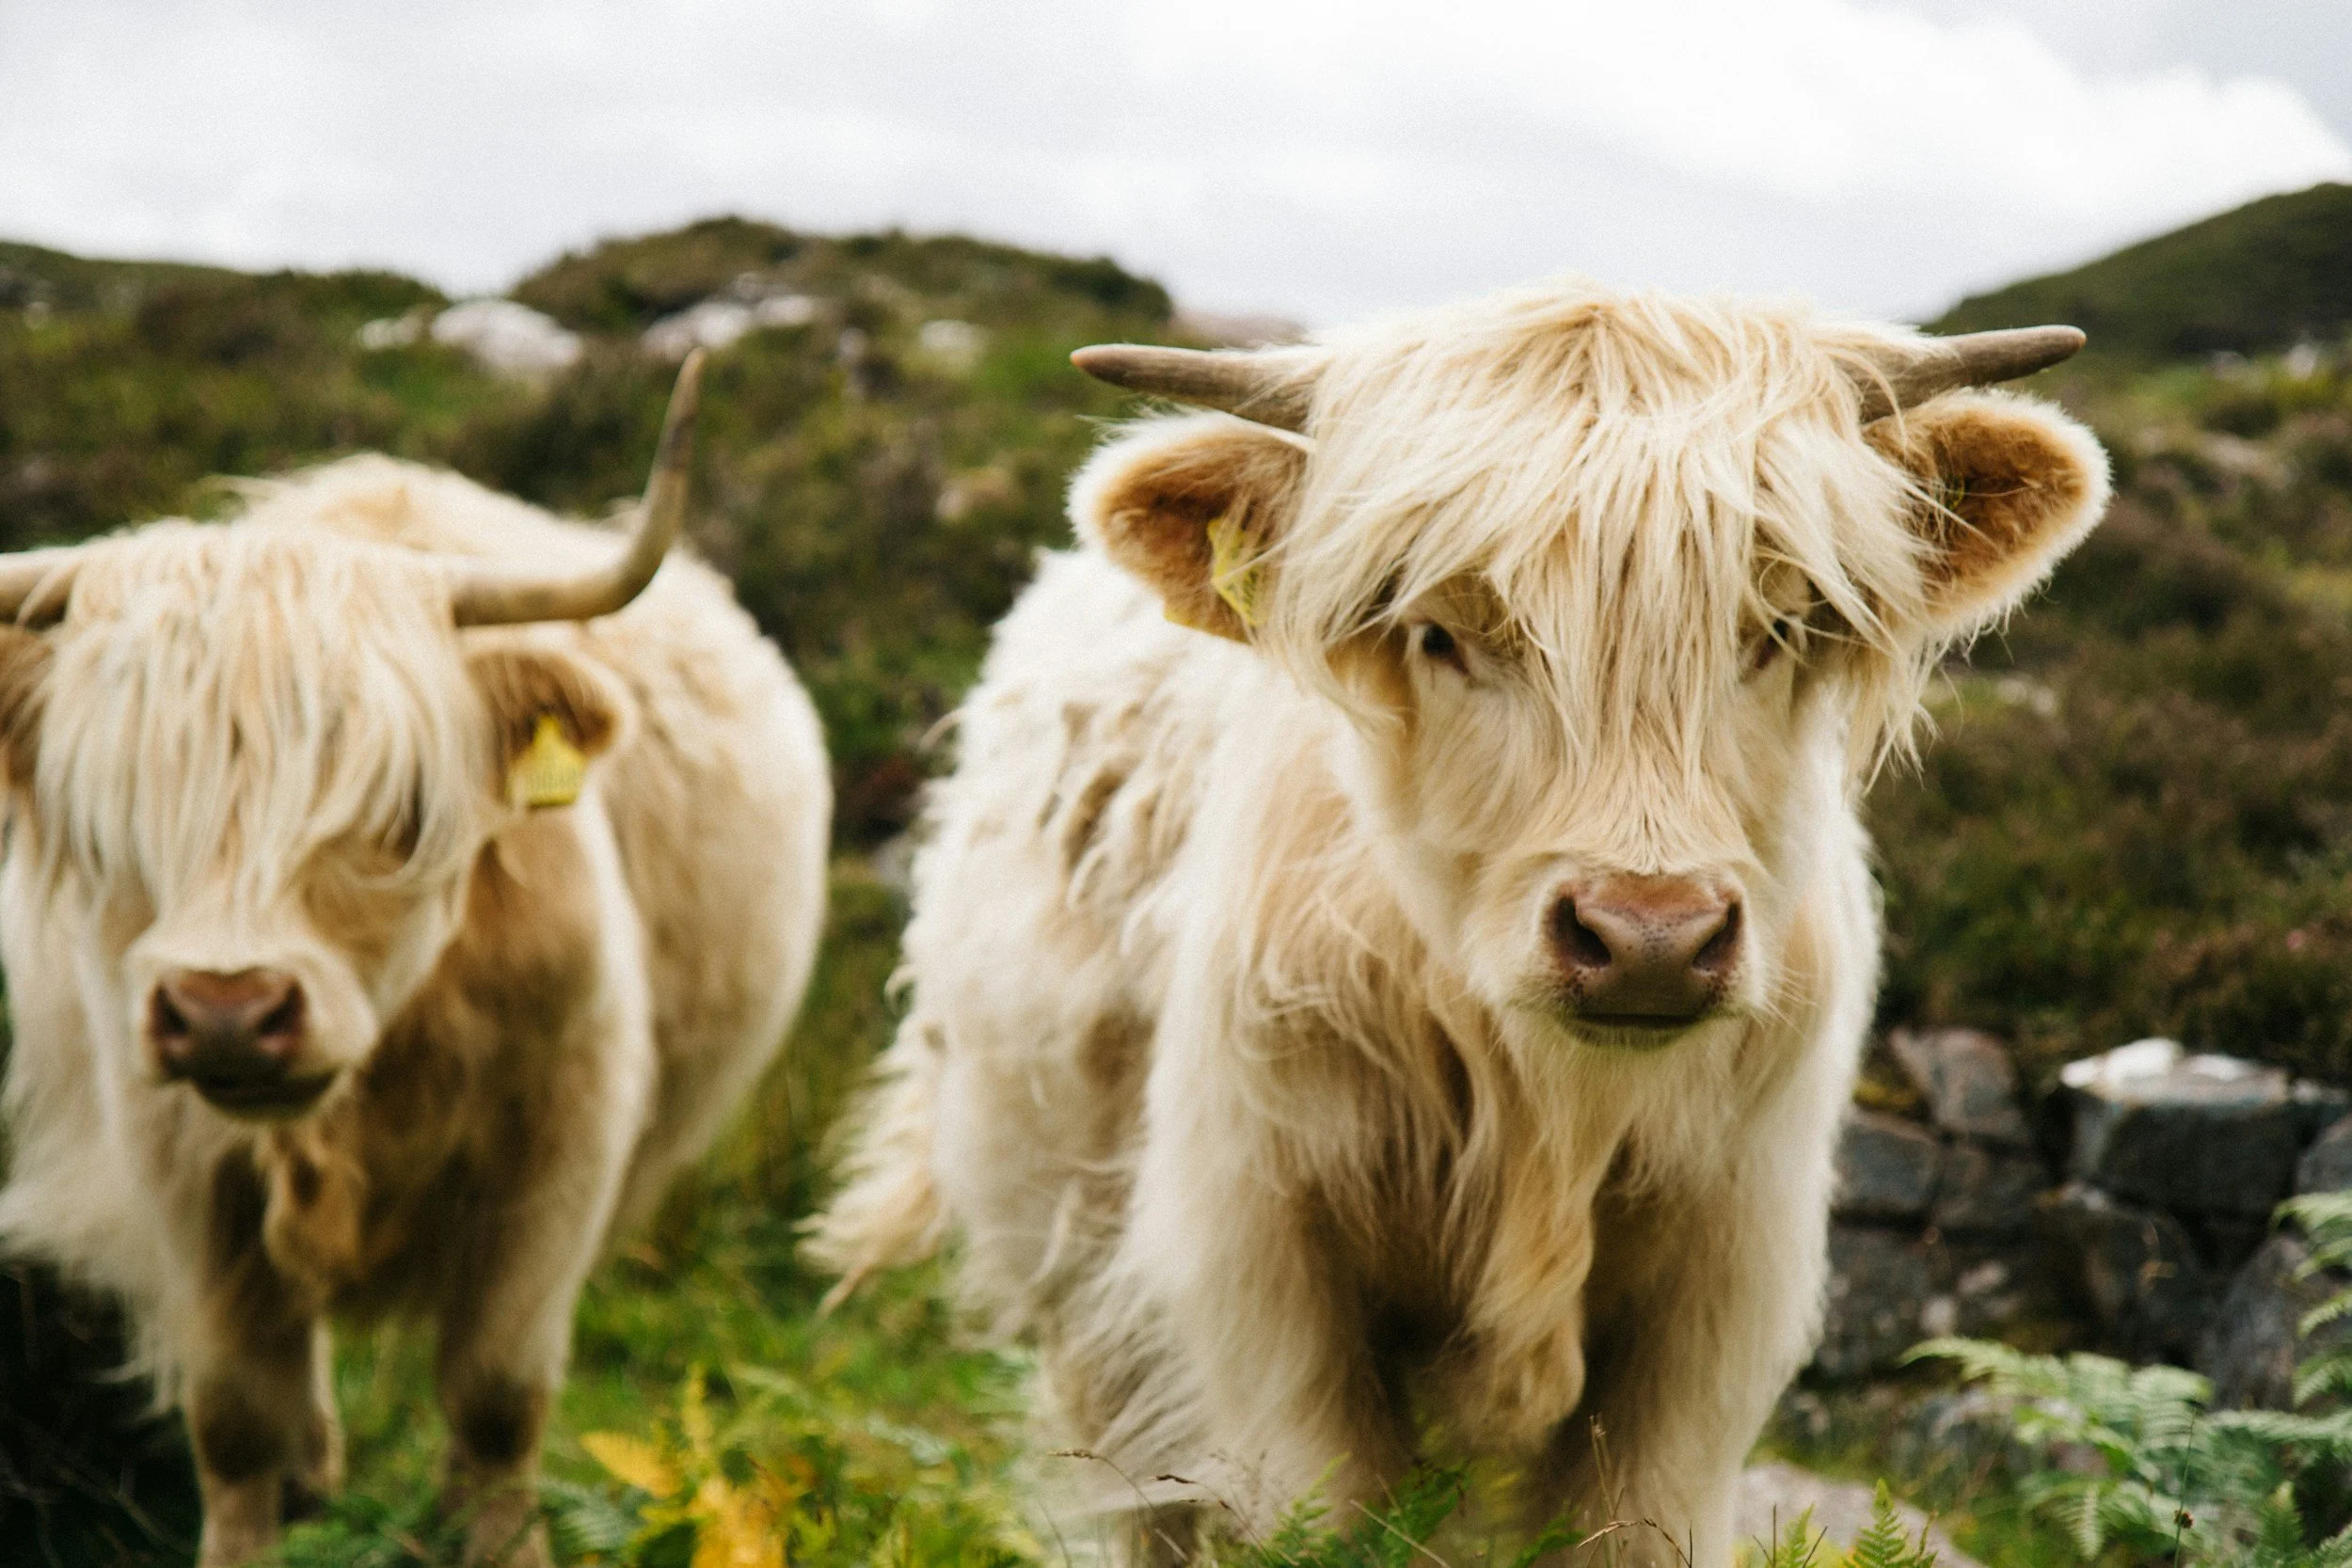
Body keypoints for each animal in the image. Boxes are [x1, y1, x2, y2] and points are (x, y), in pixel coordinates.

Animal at [0, 354, 831, 1567]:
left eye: (398, 808)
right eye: (115, 809)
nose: (225, 1008)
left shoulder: (562, 1145)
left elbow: (495, 1392)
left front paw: (499, 1540)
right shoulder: (177, 1160)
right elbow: (234, 1413)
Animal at [811, 283, 2109, 1563]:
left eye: (1779, 630)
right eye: (1439, 634)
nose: (1648, 937)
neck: (1548, 1111)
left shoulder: (1718, 1287)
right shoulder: (1259, 1271)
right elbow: (1328, 1516)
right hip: (1072, 1271)